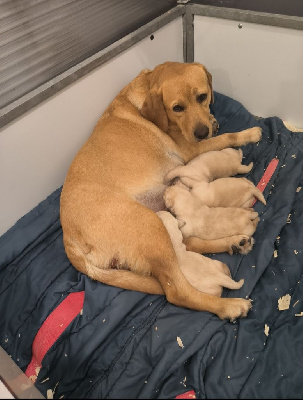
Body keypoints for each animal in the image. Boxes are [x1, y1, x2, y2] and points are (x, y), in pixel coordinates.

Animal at [60, 61, 262, 320]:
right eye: (177, 108)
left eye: (202, 97)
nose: (201, 132)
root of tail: (69, 238)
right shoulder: (191, 150)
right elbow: (228, 136)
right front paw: (249, 133)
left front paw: (213, 119)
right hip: (150, 226)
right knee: (177, 291)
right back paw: (228, 305)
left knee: (187, 244)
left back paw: (235, 243)